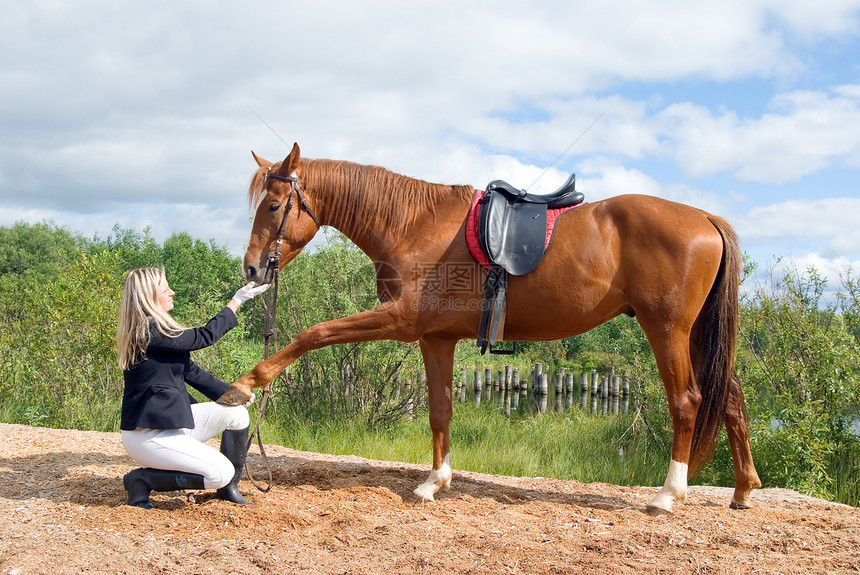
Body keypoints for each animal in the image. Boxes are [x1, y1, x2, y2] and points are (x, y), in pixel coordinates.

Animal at [218, 143, 764, 512]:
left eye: (273, 206)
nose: (252, 269)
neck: (415, 224)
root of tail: (704, 218)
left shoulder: (399, 320)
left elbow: (313, 332)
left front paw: (245, 384)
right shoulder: (434, 337)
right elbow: (440, 410)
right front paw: (434, 481)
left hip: (667, 330)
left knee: (688, 401)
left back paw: (668, 494)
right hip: (696, 335)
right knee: (731, 397)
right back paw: (742, 489)